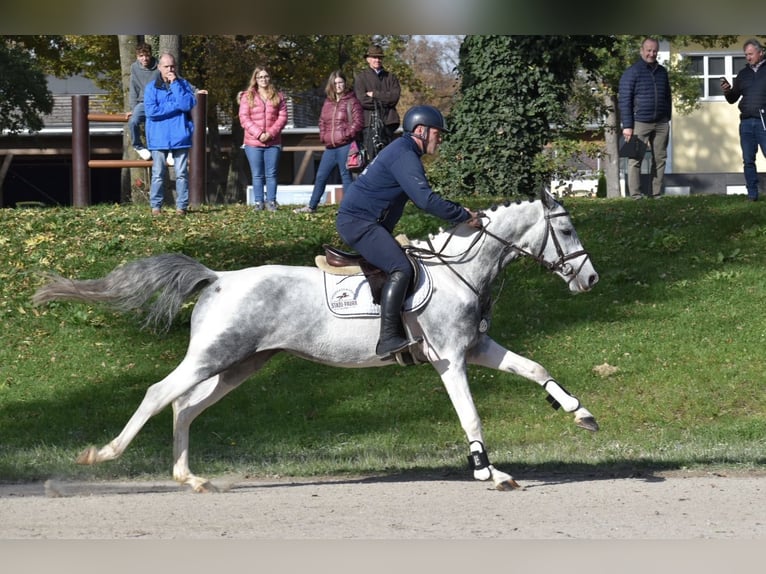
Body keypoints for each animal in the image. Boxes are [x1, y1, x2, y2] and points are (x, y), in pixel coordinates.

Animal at [33, 191, 600, 492]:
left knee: (184, 407)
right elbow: (472, 415)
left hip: (241, 364)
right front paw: (489, 472)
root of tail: (218, 277)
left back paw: (189, 478)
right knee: (158, 394)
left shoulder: (475, 349)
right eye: (568, 230)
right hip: (215, 356)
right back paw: (103, 456)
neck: (461, 270)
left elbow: (534, 368)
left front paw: (580, 413)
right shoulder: (451, 361)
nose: (591, 280)